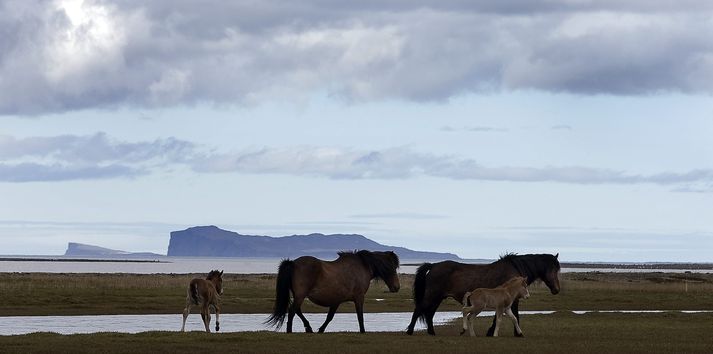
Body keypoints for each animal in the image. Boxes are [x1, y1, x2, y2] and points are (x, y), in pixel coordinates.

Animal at [266, 250, 400, 334]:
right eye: (392, 267)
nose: (397, 287)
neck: (361, 267)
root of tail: (293, 263)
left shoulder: (336, 301)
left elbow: (330, 317)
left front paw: (321, 330)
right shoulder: (359, 297)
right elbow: (360, 316)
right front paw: (363, 331)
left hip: (298, 296)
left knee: (297, 311)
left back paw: (308, 328)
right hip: (300, 295)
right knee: (292, 312)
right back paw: (290, 331)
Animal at [404, 253, 560, 336]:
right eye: (554, 268)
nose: (557, 289)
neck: (514, 270)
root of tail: (433, 266)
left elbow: (510, 317)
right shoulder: (510, 301)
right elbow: (511, 316)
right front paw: (510, 333)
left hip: (438, 297)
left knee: (429, 314)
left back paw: (431, 332)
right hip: (432, 295)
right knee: (419, 309)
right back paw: (410, 331)